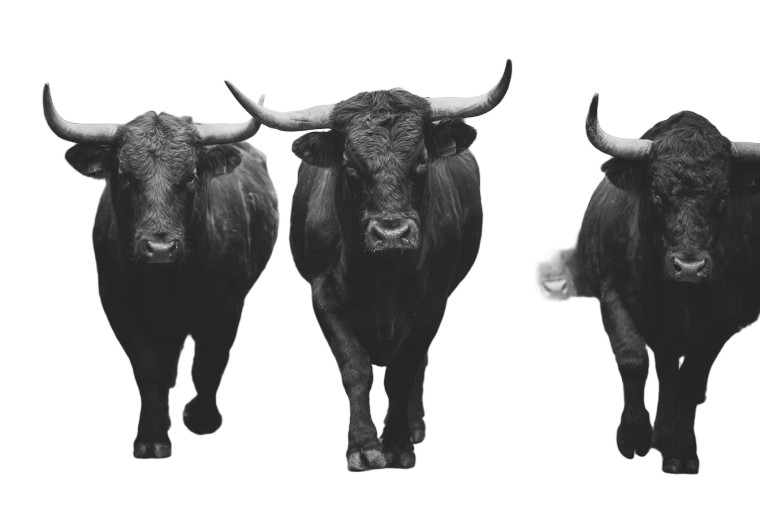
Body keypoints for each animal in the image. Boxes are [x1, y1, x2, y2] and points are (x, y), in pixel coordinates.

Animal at [43, 85, 279, 458]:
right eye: (124, 176)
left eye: (191, 176)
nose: (160, 248)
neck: (167, 283)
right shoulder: (118, 305)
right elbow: (148, 369)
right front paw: (152, 437)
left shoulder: (227, 306)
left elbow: (209, 362)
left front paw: (202, 419)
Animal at [224, 61, 511, 471]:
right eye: (350, 165)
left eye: (421, 160)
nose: (391, 233)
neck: (382, 274)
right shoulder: (324, 296)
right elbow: (355, 369)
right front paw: (363, 445)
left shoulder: (433, 303)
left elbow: (402, 373)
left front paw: (398, 443)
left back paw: (415, 425)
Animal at [540, 94, 760, 474]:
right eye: (657, 194)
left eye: (722, 197)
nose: (689, 267)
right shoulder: (612, 292)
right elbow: (632, 358)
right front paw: (634, 435)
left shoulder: (722, 318)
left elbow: (691, 378)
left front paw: (682, 452)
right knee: (664, 369)